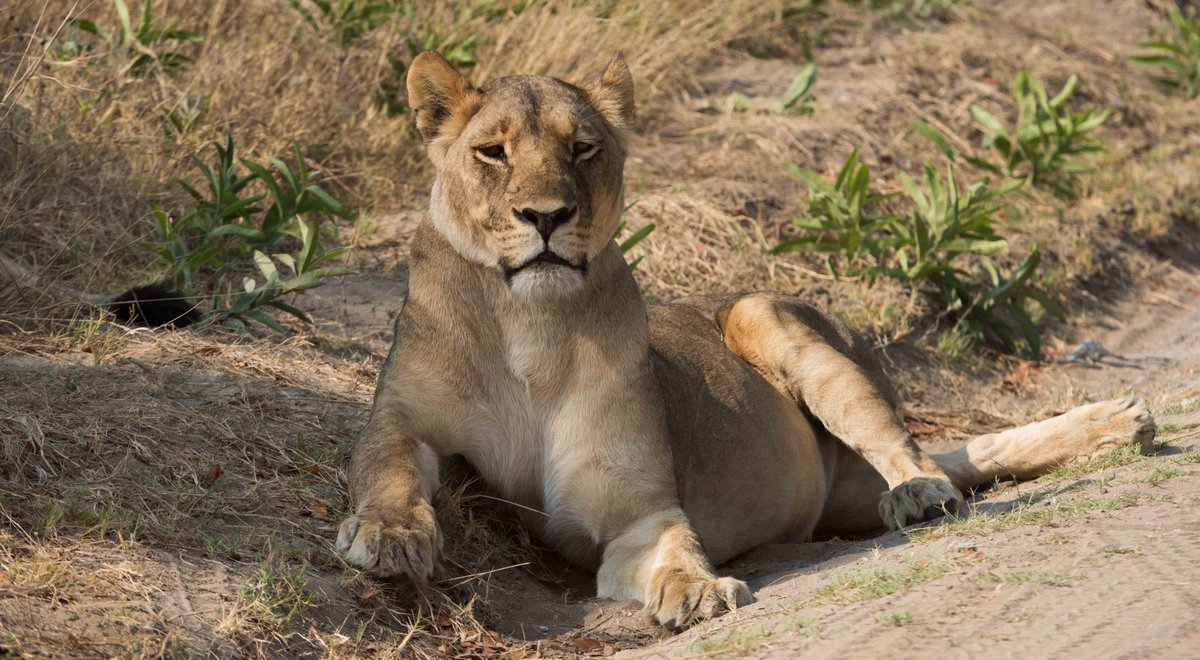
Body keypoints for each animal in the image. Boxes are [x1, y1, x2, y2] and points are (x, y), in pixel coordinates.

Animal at [336, 51, 1157, 630]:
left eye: (584, 148)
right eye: (493, 152)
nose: (545, 216)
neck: (530, 325)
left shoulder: (638, 510)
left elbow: (672, 548)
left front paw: (697, 590)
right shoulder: (402, 420)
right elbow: (386, 471)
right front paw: (391, 538)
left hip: (759, 313)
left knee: (916, 451)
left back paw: (929, 492)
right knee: (962, 459)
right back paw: (1120, 424)